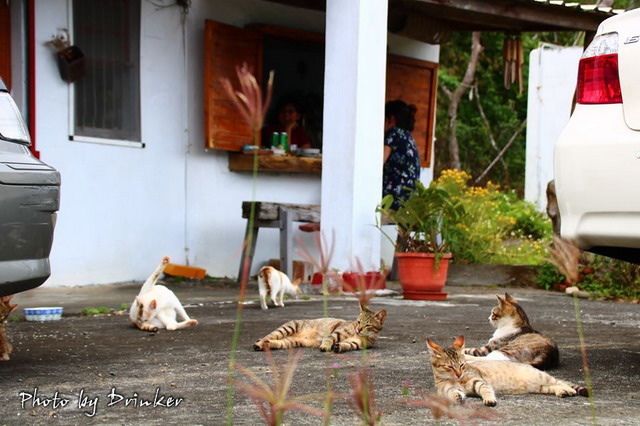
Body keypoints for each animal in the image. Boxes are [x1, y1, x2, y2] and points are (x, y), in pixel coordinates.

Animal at [254, 302, 384, 354]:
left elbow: (346, 345)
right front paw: (325, 346)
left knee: (271, 341)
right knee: (268, 336)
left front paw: (338, 347)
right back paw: (258, 343)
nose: (358, 329)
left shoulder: (356, 343)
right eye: (358, 322)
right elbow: (329, 339)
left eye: (367, 325)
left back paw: (263, 345)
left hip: (288, 342)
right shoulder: (336, 333)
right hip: (288, 328)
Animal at [428, 336, 588, 406]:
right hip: (540, 387)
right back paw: (562, 392)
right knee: (554, 386)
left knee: (561, 382)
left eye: (462, 365)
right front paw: (457, 397)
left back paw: (569, 390)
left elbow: (486, 390)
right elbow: (452, 393)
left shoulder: (479, 381)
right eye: (450, 367)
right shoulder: (446, 389)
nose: (459, 374)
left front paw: (489, 399)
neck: (453, 379)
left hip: (543, 377)